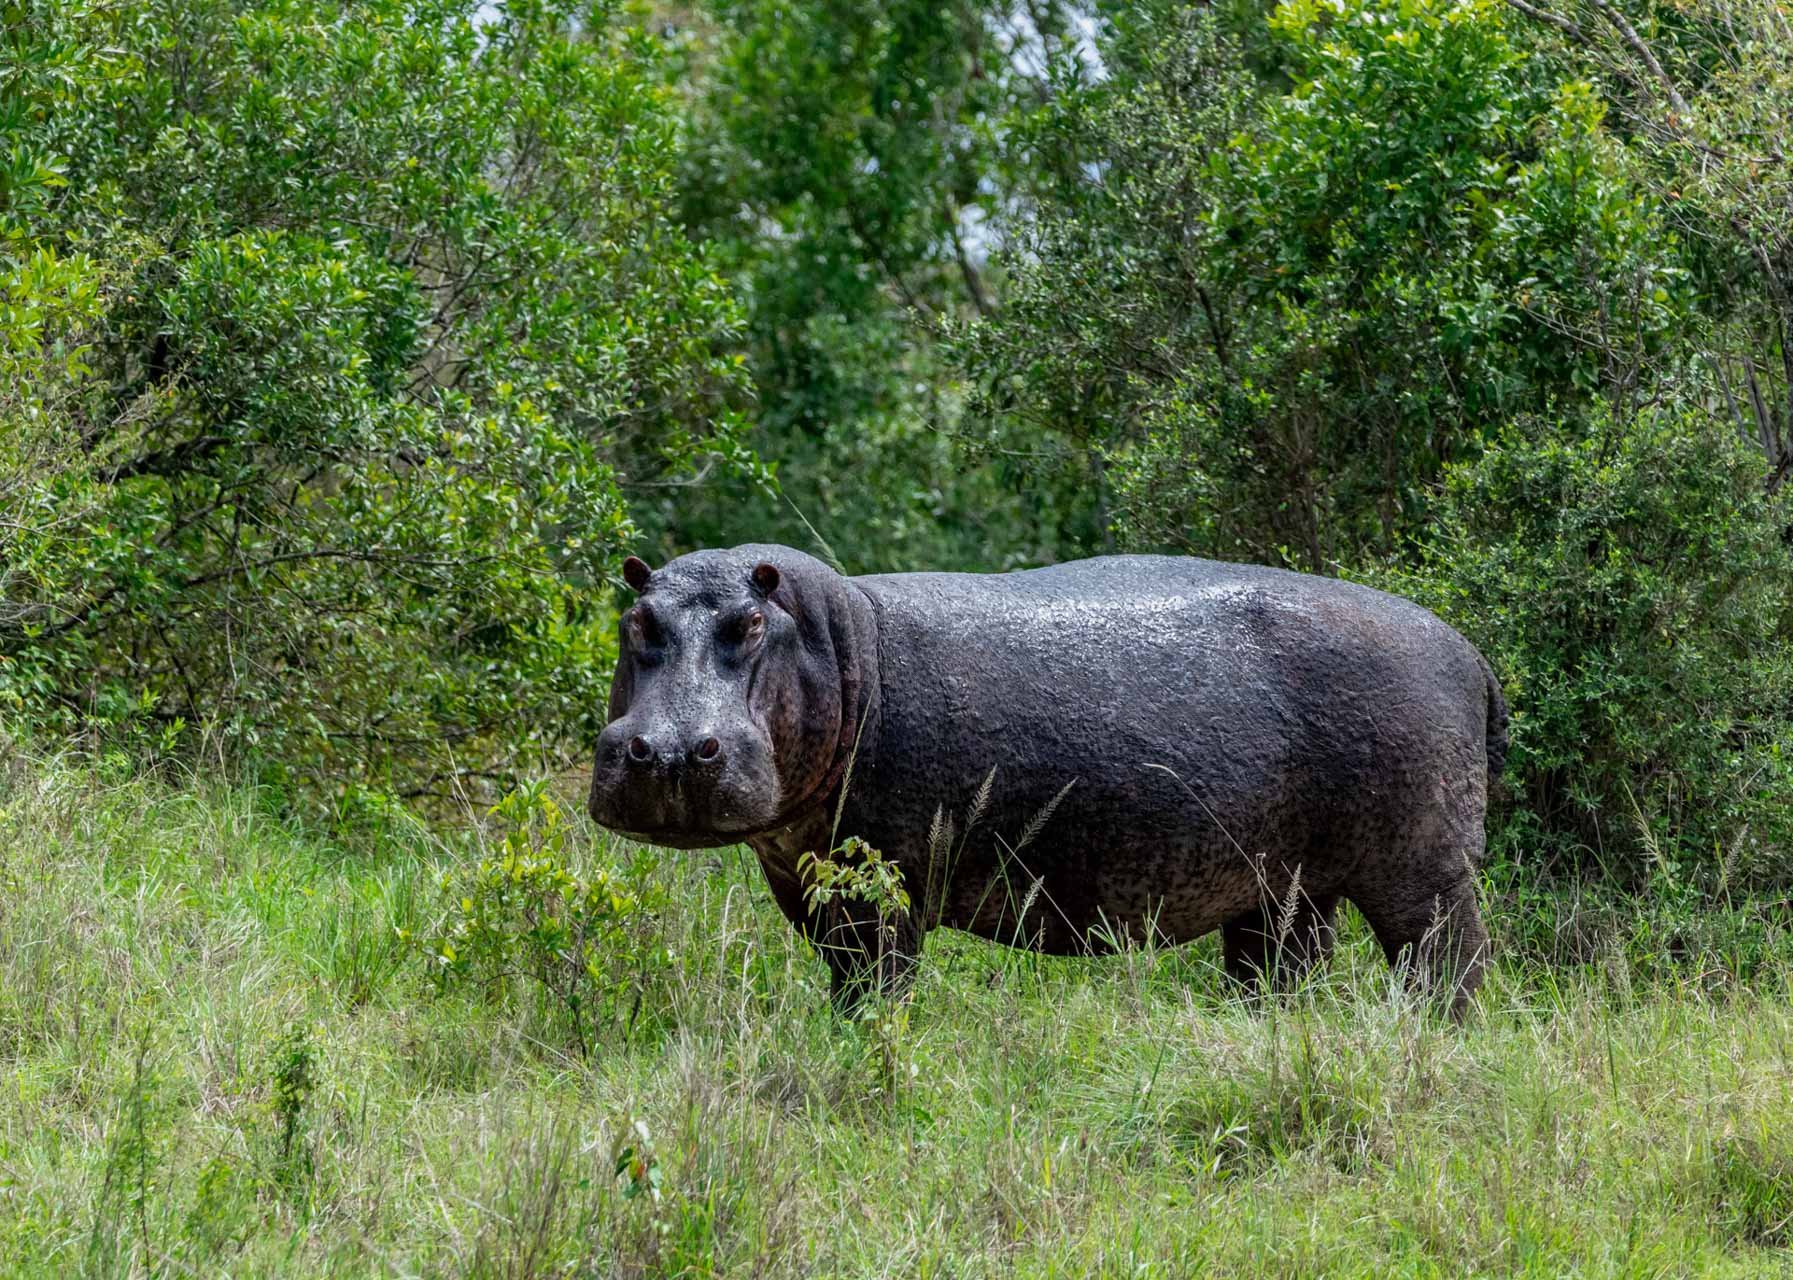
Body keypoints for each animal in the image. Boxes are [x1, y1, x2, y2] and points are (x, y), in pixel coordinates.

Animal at [584, 544, 1498, 1011]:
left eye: (749, 625)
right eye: (636, 619)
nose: (670, 750)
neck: (841, 646)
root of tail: (1468, 650)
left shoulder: (883, 884)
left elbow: (876, 984)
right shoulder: (805, 878)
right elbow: (842, 975)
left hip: (1419, 874)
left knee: (1447, 962)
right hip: (1283, 888)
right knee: (1279, 971)